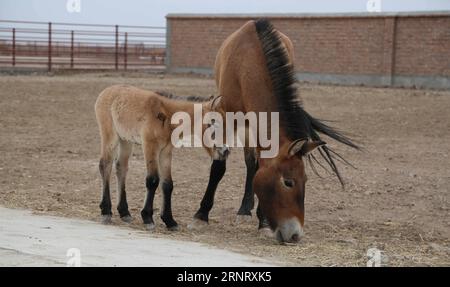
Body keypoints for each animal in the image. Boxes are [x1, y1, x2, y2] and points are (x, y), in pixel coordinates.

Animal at [190, 19, 358, 243]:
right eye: (288, 182)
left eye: (306, 180)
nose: (295, 234)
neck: (249, 63)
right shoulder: (228, 119)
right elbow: (218, 167)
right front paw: (201, 215)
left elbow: (258, 166)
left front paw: (263, 222)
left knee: (252, 165)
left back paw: (246, 209)